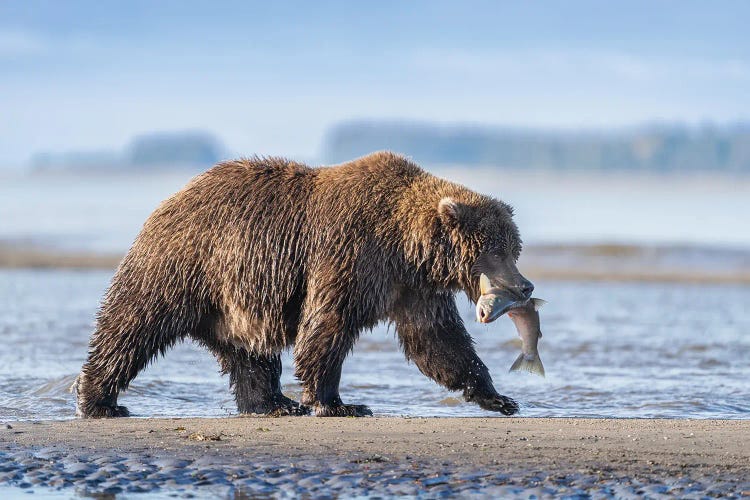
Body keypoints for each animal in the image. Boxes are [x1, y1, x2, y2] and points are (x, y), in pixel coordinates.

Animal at [75, 152, 536, 418]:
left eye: (514, 247)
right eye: (496, 250)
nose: (526, 287)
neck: (407, 247)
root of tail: (168, 200)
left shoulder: (412, 288)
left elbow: (438, 341)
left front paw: (499, 397)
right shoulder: (350, 253)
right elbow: (328, 325)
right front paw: (338, 402)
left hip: (234, 304)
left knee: (251, 355)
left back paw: (274, 403)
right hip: (185, 266)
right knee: (133, 324)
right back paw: (99, 400)